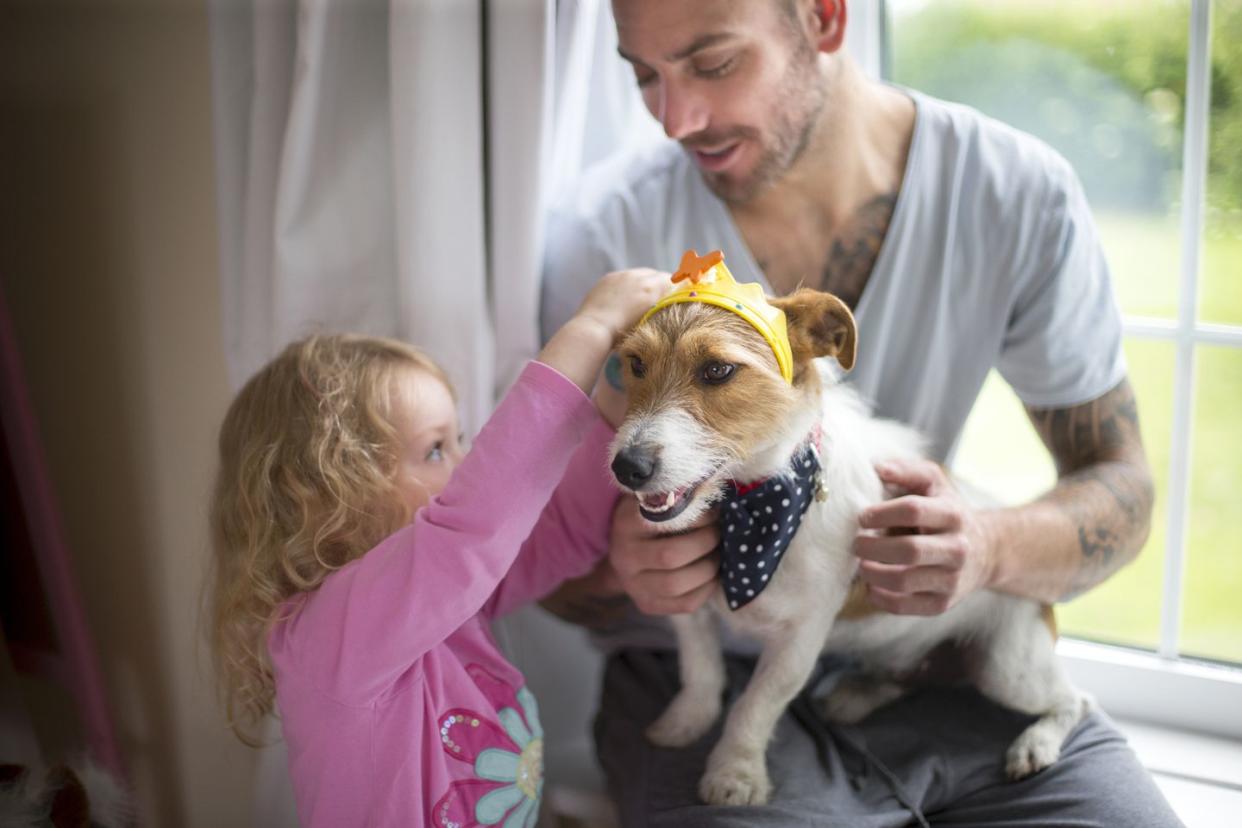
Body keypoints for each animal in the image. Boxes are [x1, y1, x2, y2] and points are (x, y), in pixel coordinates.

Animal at [608, 285, 1087, 809]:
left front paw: (735, 772)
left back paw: (1035, 744)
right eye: (635, 363)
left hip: (1008, 668)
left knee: (1077, 700)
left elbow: (754, 706)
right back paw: (856, 696)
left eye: (718, 370)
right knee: (902, 677)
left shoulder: (798, 641)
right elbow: (701, 673)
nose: (626, 467)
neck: (749, 509)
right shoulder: (689, 606)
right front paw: (685, 723)